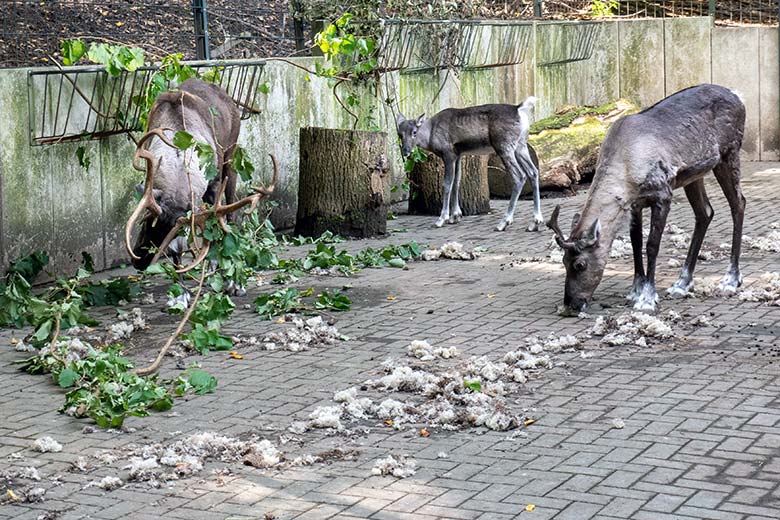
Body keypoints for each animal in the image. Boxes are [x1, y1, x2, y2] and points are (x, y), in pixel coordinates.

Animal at [396, 96, 544, 231]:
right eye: (399, 134)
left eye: (415, 132)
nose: (406, 151)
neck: (430, 135)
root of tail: (519, 109)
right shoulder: (458, 155)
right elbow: (457, 182)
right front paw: (455, 216)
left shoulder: (448, 154)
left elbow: (447, 184)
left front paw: (442, 219)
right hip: (521, 145)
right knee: (533, 172)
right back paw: (535, 222)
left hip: (504, 146)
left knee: (519, 176)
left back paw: (504, 222)